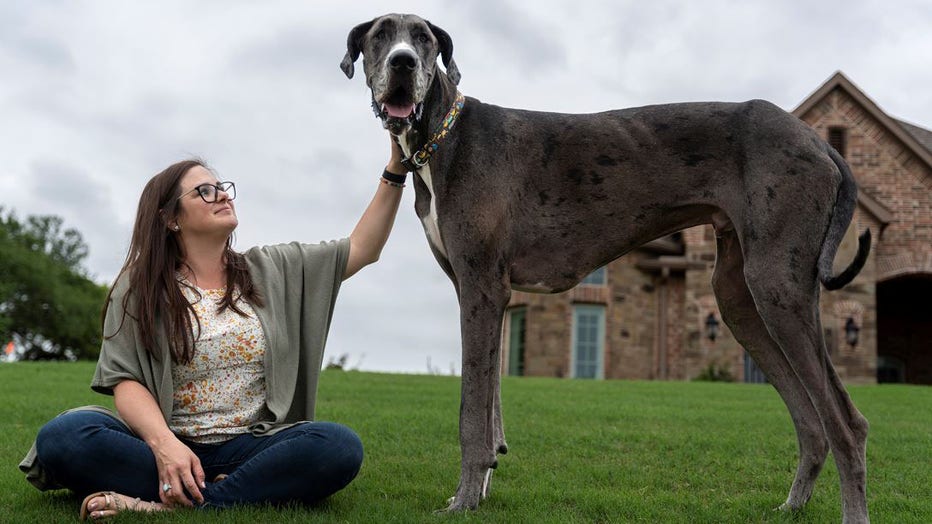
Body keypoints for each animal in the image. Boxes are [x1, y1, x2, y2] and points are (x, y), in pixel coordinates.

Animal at [340, 13, 872, 524]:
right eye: (380, 35)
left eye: (424, 39)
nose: (403, 63)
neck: (443, 136)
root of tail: (820, 144)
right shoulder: (485, 295)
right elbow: (491, 405)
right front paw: (481, 489)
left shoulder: (481, 289)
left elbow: (472, 412)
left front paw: (464, 501)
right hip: (740, 299)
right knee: (811, 421)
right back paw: (792, 506)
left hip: (777, 287)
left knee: (846, 423)